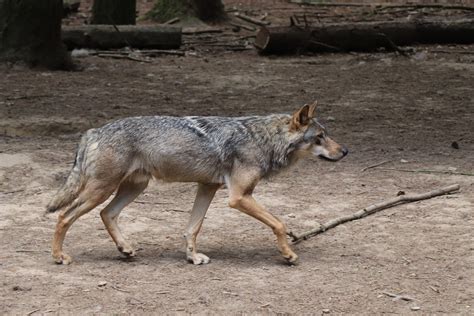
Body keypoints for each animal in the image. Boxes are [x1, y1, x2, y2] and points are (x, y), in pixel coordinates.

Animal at [47, 100, 348, 264]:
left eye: (326, 135)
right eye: (319, 137)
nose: (345, 151)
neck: (263, 139)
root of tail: (93, 131)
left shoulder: (208, 188)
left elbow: (192, 228)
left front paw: (192, 258)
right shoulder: (238, 197)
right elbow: (280, 223)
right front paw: (288, 254)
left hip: (133, 188)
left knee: (106, 214)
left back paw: (126, 249)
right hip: (102, 190)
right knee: (63, 216)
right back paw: (59, 257)